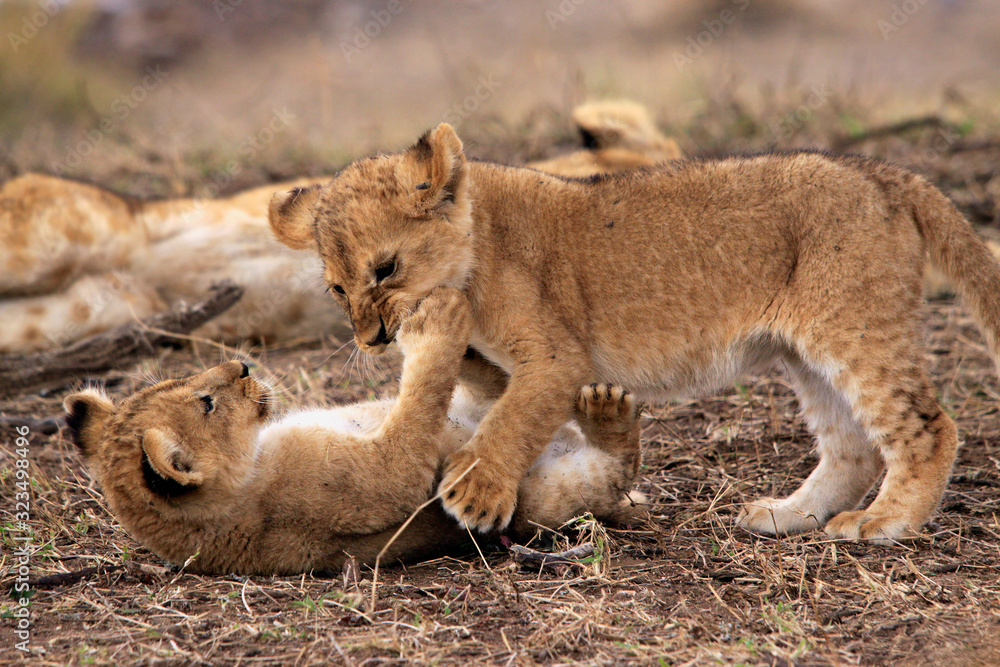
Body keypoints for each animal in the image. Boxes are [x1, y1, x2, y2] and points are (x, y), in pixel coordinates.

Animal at [64, 287, 642, 575]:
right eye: (206, 403)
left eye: (180, 381)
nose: (242, 366)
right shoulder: (376, 484)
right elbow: (417, 406)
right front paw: (433, 322)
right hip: (540, 501)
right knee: (610, 475)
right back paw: (608, 412)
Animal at [269, 122, 1000, 543]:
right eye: (336, 288)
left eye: (385, 268)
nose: (372, 341)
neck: (476, 244)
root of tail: (882, 173)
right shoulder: (502, 364)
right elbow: (496, 397)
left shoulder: (556, 357)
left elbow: (512, 419)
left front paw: (476, 493)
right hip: (807, 351)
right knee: (852, 446)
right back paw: (789, 515)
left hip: (853, 328)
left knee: (928, 426)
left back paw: (886, 523)